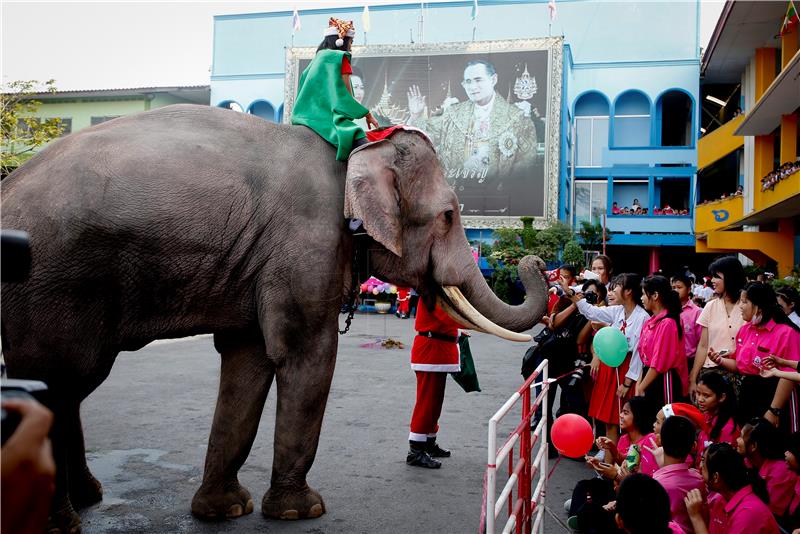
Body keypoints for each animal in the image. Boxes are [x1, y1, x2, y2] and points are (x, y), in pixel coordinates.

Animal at [0, 103, 552, 532]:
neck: (355, 149)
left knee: (68, 388)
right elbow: (307, 356)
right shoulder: (305, 245)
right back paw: (58, 521)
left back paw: (87, 497)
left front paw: (225, 510)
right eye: (448, 216)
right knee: (57, 382)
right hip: (51, 284)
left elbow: (248, 360)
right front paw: (301, 512)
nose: (532, 259)